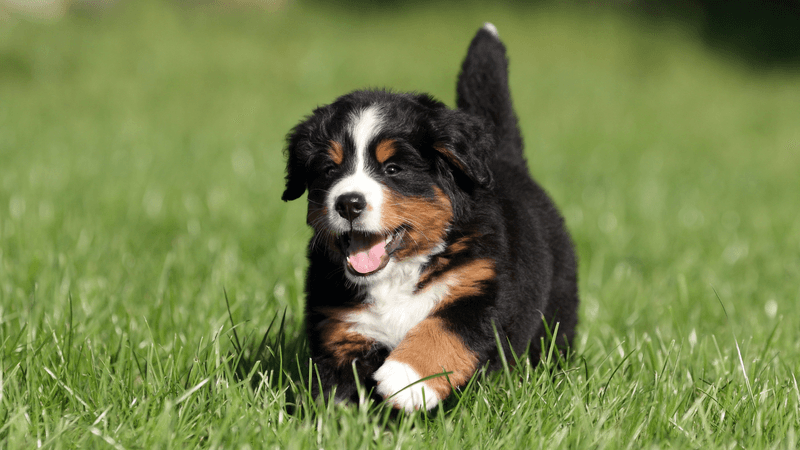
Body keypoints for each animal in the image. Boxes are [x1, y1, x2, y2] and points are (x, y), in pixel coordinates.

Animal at [284, 23, 580, 412]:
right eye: (329, 170)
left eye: (393, 169)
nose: (348, 203)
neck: (396, 276)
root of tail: (506, 159)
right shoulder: (341, 323)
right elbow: (338, 387)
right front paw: (335, 418)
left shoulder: (483, 286)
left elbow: (448, 329)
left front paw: (408, 378)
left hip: (556, 307)